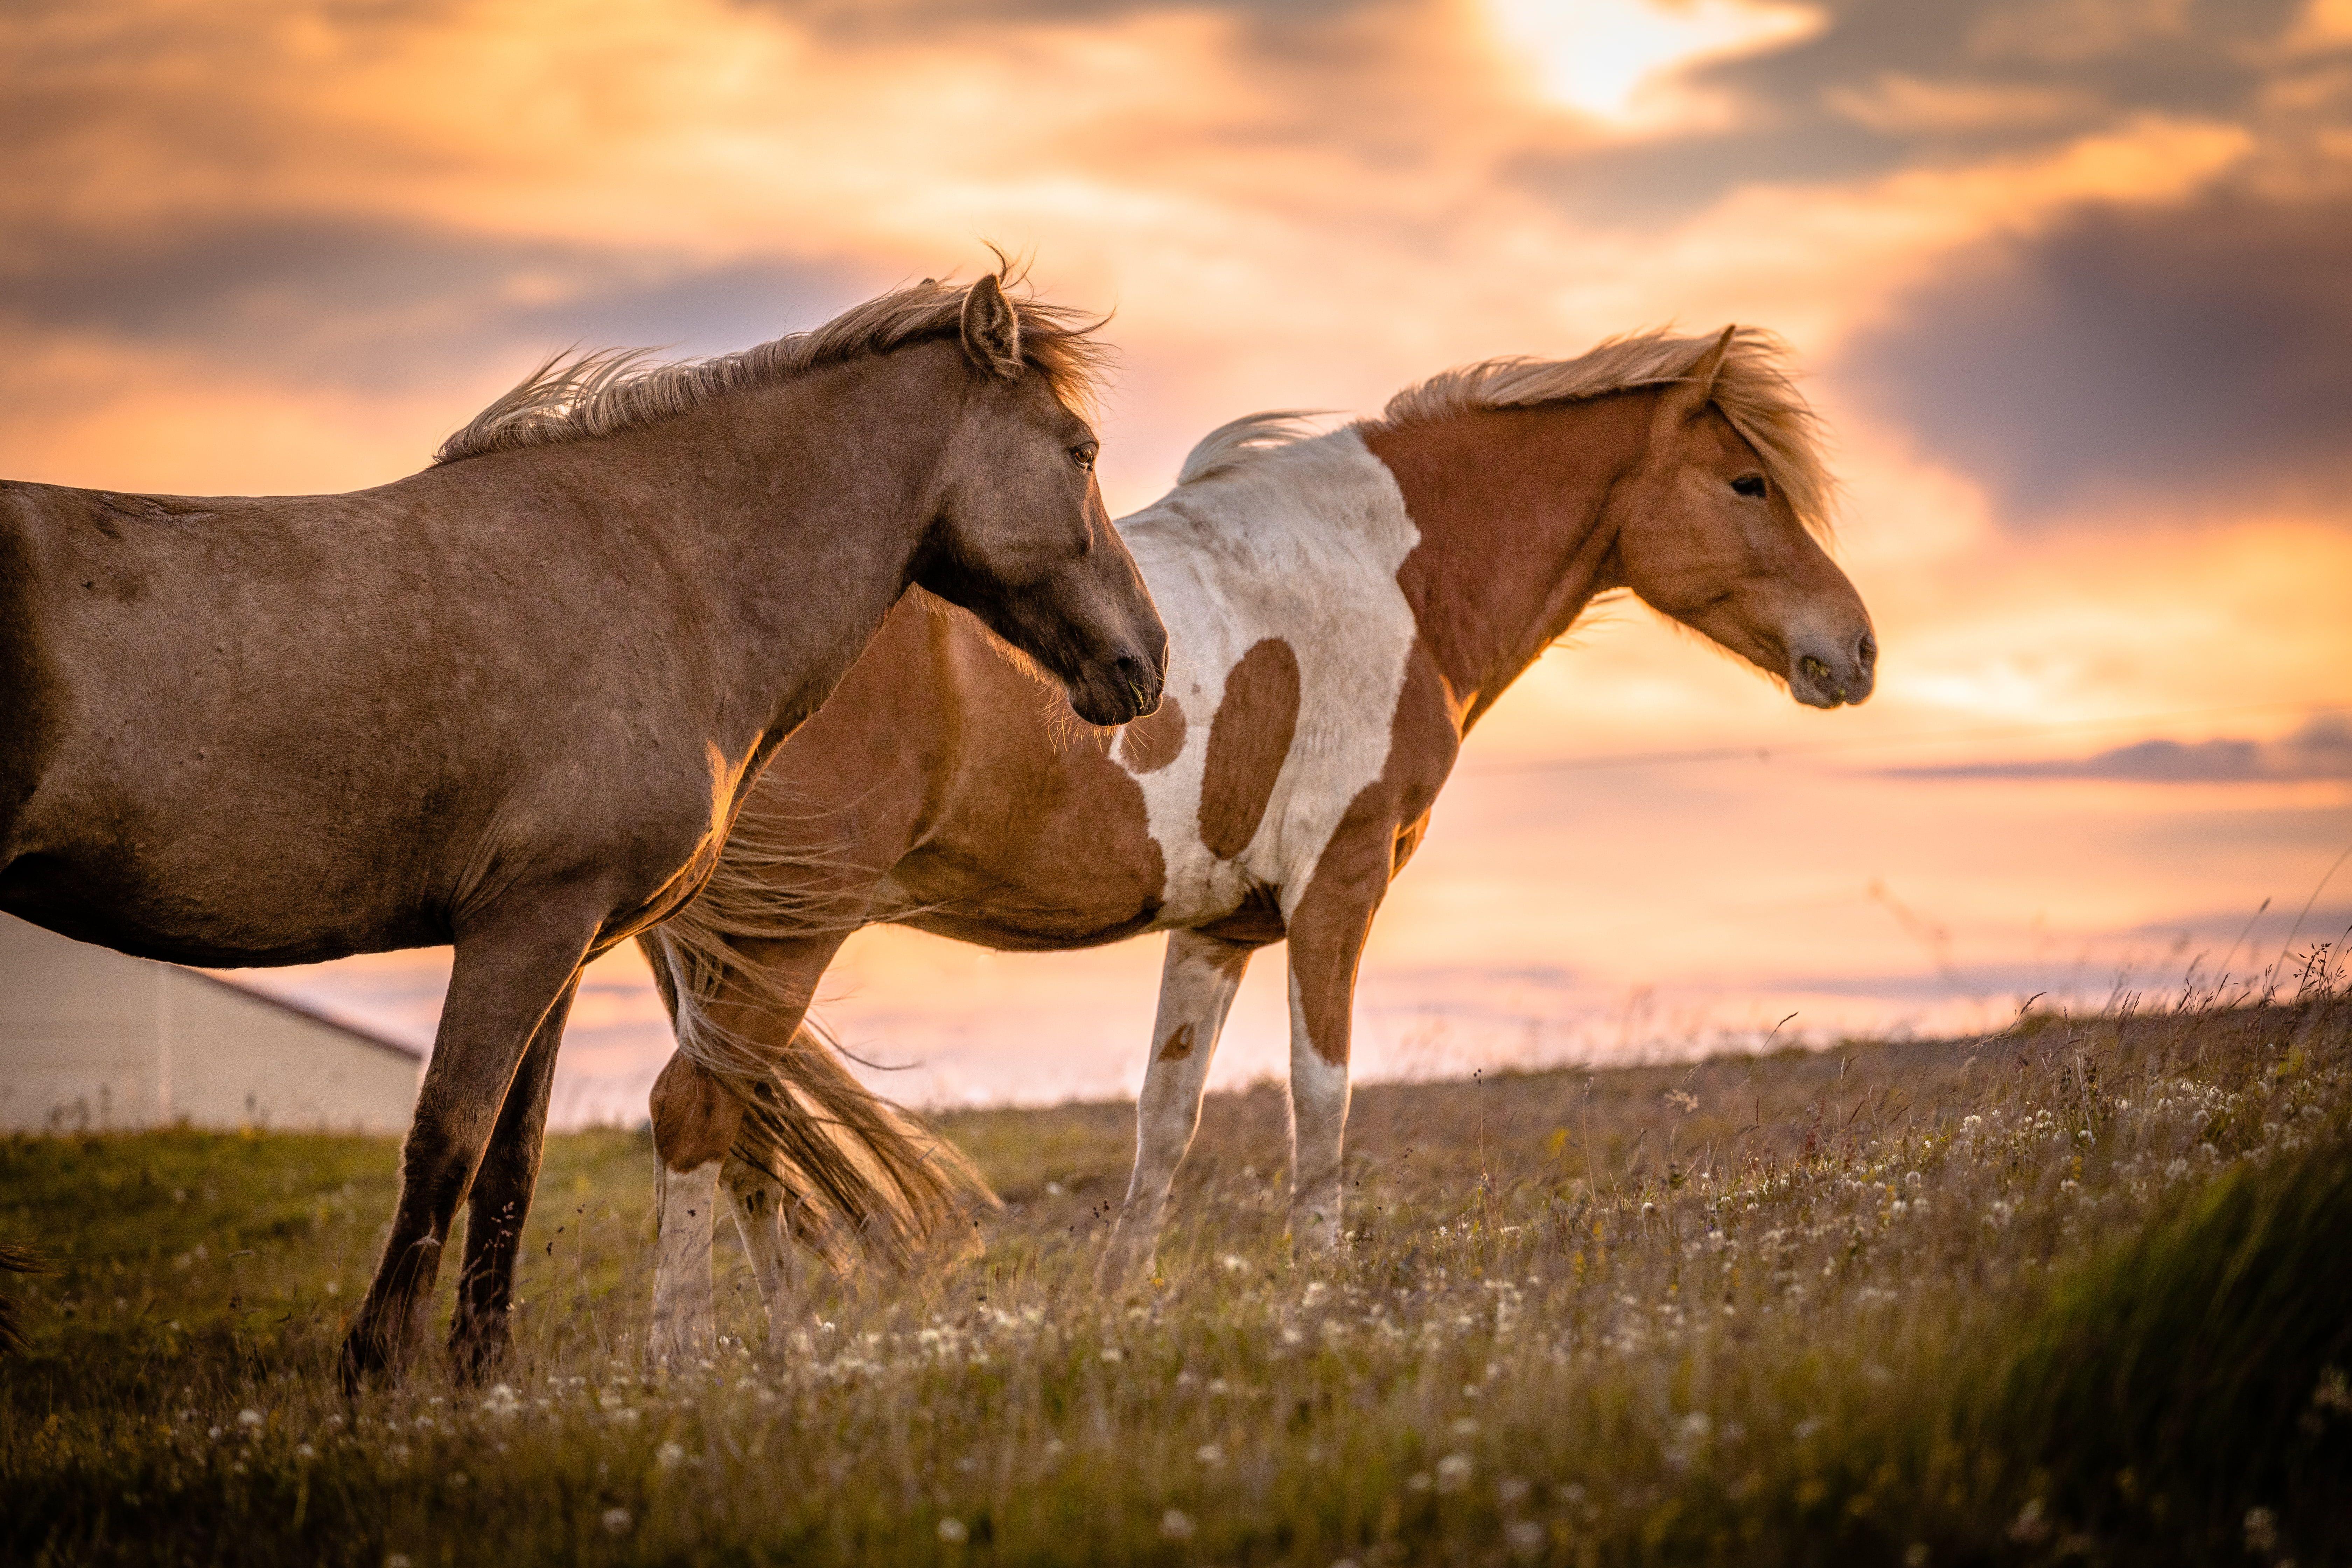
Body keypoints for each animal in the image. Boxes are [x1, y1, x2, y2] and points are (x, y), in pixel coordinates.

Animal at [0, 268, 1167, 1382]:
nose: (1143, 662)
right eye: (1080, 451)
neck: (663, 574)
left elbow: (512, 1159)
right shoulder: (524, 926)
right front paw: (377, 1375)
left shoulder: (561, 941)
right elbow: (448, 1140)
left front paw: (482, 1379)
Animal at [635, 324, 1876, 1357]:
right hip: (789, 936)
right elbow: (1319, 1094)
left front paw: (1114, 1303)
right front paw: (1320, 1290)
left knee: (748, 1131)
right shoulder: (1338, 887)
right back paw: (683, 1362)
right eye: (1748, 481)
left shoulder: (1219, 929)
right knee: (698, 1113)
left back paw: (793, 1350)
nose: (1856, 648)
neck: (1393, 579)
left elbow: (1165, 1119)